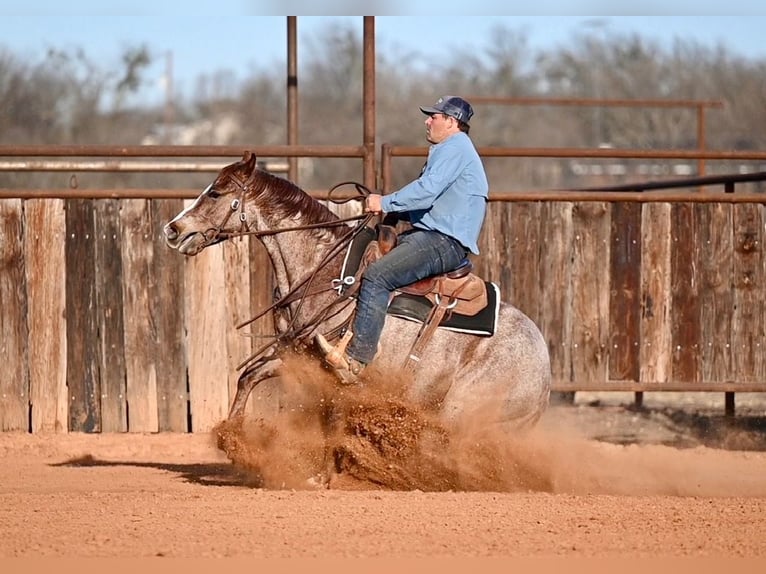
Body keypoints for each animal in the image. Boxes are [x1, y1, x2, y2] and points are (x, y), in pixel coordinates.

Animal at [163, 151, 551, 437]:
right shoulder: (297, 356)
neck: (324, 271)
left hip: (463, 409)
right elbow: (248, 376)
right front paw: (230, 435)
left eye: (215, 192)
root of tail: (545, 367)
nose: (172, 229)